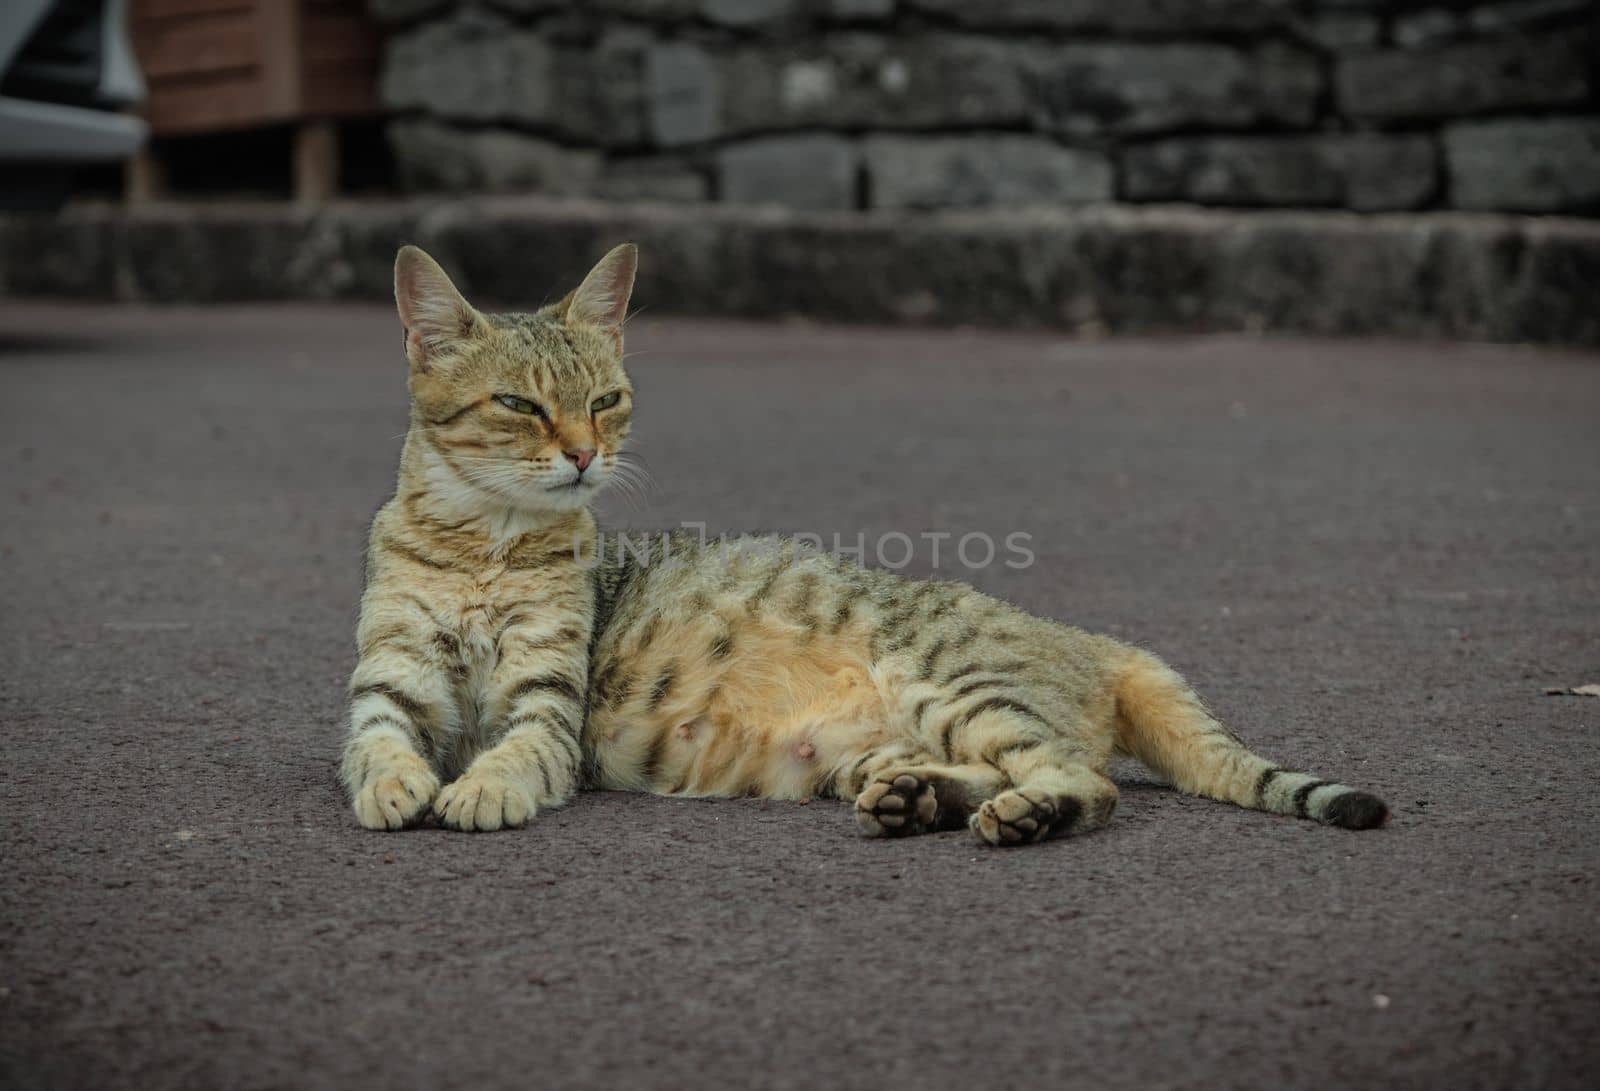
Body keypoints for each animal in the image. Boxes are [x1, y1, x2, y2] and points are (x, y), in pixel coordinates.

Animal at [340, 246, 1388, 838]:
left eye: (606, 400)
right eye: (519, 405)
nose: (585, 454)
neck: (484, 544)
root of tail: (1093, 640)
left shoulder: (545, 703)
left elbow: (513, 750)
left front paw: (477, 790)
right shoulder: (390, 681)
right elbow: (377, 741)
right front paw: (397, 788)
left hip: (950, 683)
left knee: (1084, 780)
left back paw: (1024, 816)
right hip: (884, 744)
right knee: (982, 770)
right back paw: (918, 801)